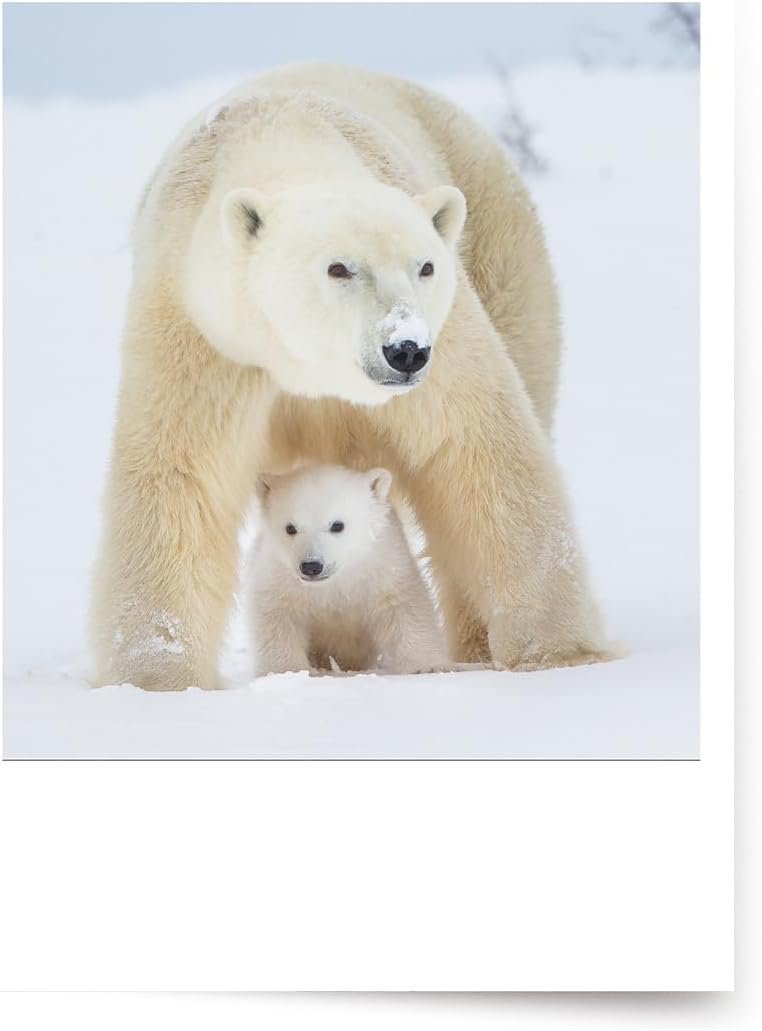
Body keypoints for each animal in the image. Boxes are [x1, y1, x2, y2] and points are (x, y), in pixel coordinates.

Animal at [249, 464, 448, 677]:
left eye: (337, 525)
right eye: (290, 528)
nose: (311, 566)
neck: (338, 580)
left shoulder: (383, 565)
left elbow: (404, 607)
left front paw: (427, 666)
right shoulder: (278, 574)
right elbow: (277, 616)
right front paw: (287, 670)